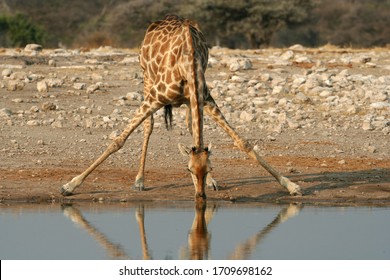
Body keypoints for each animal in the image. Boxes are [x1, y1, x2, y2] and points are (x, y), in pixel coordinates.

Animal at [60, 14, 302, 201]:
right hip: (147, 80)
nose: (200, 196)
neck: (188, 62)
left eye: (209, 168)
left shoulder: (206, 99)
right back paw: (139, 181)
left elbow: (243, 142)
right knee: (149, 126)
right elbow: (118, 141)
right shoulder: (155, 98)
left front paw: (291, 186)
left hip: (188, 101)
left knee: (190, 127)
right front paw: (69, 186)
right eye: (188, 170)